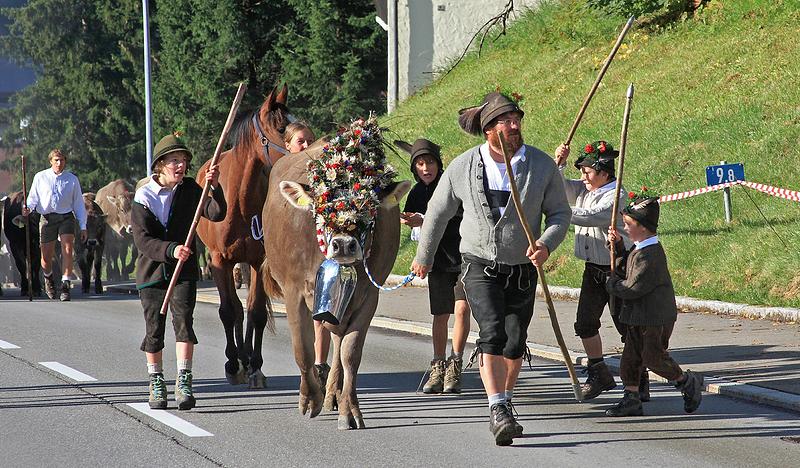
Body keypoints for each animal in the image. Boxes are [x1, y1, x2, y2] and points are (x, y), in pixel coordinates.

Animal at [195, 85, 292, 388]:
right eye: (282, 127)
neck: (239, 199)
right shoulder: (219, 261)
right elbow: (228, 311)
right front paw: (232, 363)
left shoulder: (259, 261)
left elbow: (256, 312)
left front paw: (255, 366)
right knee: (236, 310)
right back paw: (238, 358)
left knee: (246, 308)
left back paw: (248, 358)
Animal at [262, 119, 412, 428]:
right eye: (322, 204)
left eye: (368, 207)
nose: (343, 244)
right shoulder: (294, 292)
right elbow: (302, 349)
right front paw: (310, 399)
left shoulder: (369, 295)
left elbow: (350, 353)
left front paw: (349, 410)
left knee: (338, 341)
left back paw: (333, 392)